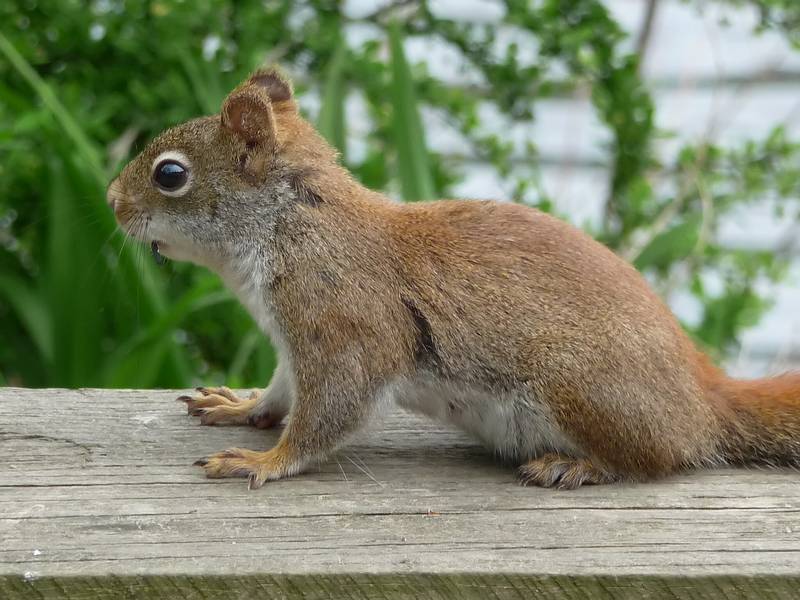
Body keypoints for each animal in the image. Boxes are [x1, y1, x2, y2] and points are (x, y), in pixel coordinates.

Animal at [106, 68, 800, 490]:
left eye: (171, 175)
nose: (111, 200)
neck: (290, 227)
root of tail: (703, 399)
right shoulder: (291, 345)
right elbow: (281, 393)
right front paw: (241, 407)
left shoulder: (345, 325)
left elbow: (327, 413)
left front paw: (265, 460)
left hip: (580, 386)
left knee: (657, 457)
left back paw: (575, 466)